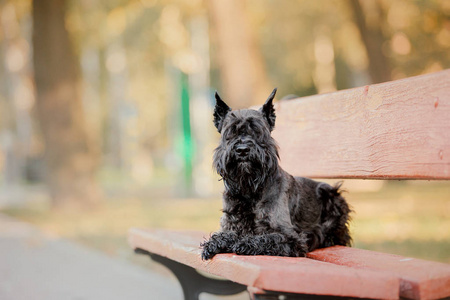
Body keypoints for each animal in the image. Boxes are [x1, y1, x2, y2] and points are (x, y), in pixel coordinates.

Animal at [200, 88, 352, 260]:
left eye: (258, 131)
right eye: (230, 133)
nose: (243, 149)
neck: (249, 189)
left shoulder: (289, 237)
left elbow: (264, 238)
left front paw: (243, 243)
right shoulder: (231, 223)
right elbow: (225, 234)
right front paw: (214, 243)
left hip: (332, 196)